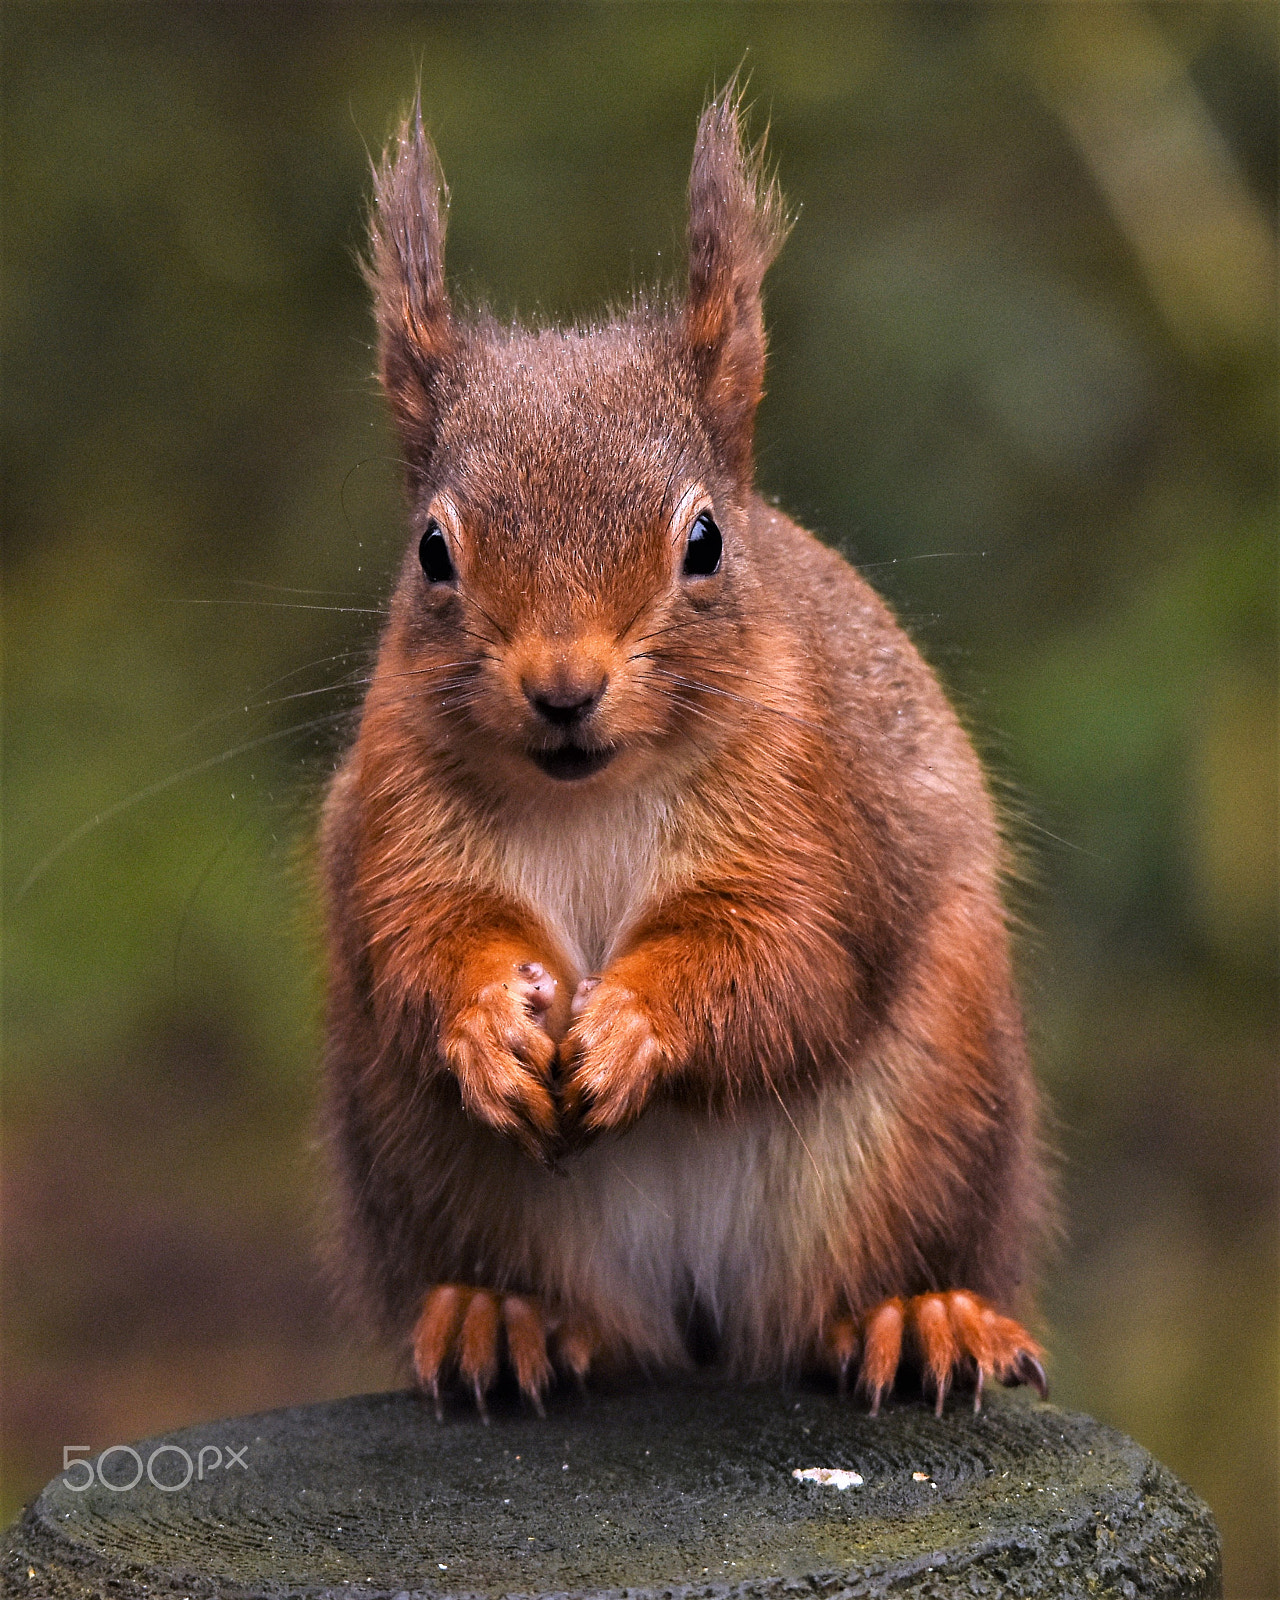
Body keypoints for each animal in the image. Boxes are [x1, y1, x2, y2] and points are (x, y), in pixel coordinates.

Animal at [320, 90, 1049, 1414]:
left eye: (704, 540)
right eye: (432, 551)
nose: (562, 689)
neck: (591, 794)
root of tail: (697, 1320)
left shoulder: (809, 807)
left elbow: (781, 957)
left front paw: (628, 1030)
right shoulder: (401, 814)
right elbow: (419, 941)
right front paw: (486, 1024)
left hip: (932, 1121)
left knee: (876, 1267)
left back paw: (915, 1315)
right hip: (419, 1160)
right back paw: (499, 1315)